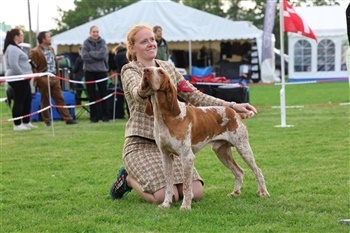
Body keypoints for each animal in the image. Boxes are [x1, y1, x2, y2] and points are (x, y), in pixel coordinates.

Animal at [141, 66, 270, 210]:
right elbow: (169, 184)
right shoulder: (166, 156)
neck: (165, 116)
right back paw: (235, 192)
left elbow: (187, 186)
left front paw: (185, 206)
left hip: (243, 148)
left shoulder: (187, 157)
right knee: (239, 171)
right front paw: (166, 204)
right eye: (148, 69)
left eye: (161, 72)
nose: (145, 70)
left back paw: (263, 192)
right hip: (222, 152)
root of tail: (235, 113)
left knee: (257, 170)